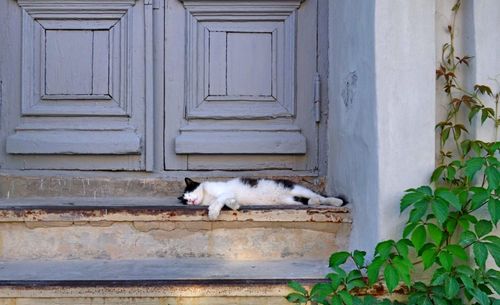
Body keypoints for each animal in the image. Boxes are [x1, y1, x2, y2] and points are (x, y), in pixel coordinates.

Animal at [178, 177, 346, 220]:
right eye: (185, 200)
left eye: (190, 192)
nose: (190, 201)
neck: (206, 196)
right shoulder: (229, 195)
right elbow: (227, 201)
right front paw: (234, 205)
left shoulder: (225, 191)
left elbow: (219, 200)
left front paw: (213, 211)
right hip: (289, 200)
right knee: (307, 200)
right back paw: (313, 202)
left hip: (297, 188)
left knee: (318, 195)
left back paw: (335, 201)